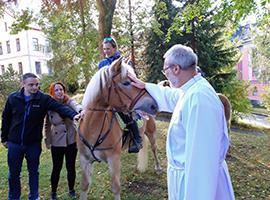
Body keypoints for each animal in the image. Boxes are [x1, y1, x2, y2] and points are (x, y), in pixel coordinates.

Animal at [77, 58, 162, 200]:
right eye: (126, 82)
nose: (154, 105)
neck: (92, 129)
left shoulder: (114, 159)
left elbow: (115, 187)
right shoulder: (85, 160)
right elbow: (84, 186)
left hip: (151, 133)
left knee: (154, 149)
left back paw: (158, 168)